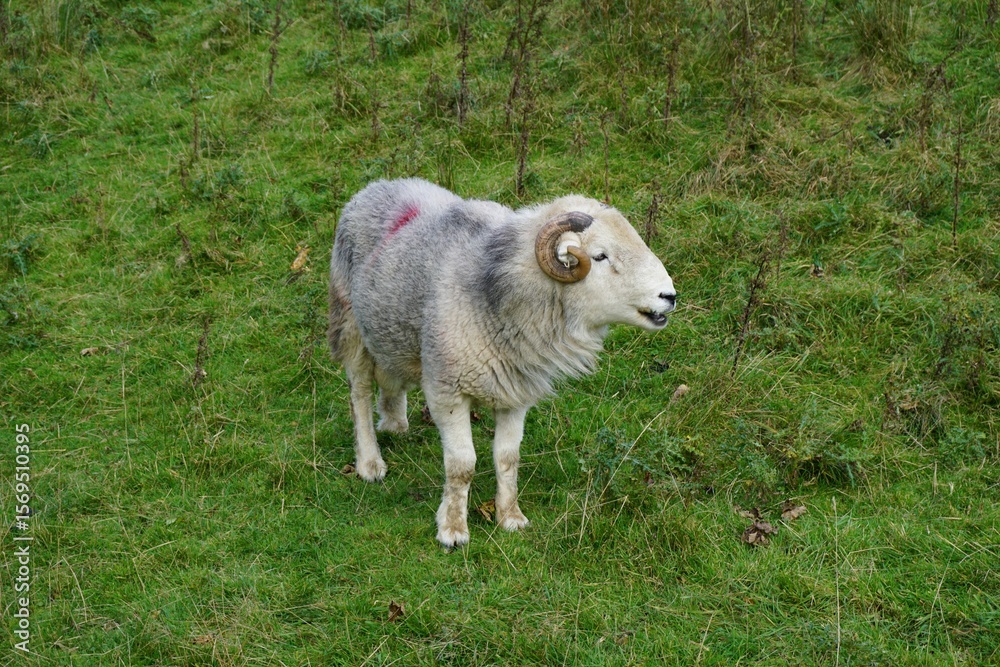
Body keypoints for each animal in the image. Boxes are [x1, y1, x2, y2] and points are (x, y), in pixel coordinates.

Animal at [328, 178, 676, 547]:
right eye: (599, 255)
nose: (669, 296)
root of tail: (379, 185)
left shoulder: (515, 394)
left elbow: (508, 458)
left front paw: (510, 517)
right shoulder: (447, 393)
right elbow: (462, 465)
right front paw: (453, 529)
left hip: (393, 332)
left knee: (391, 379)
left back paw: (395, 422)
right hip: (349, 324)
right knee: (360, 394)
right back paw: (369, 462)